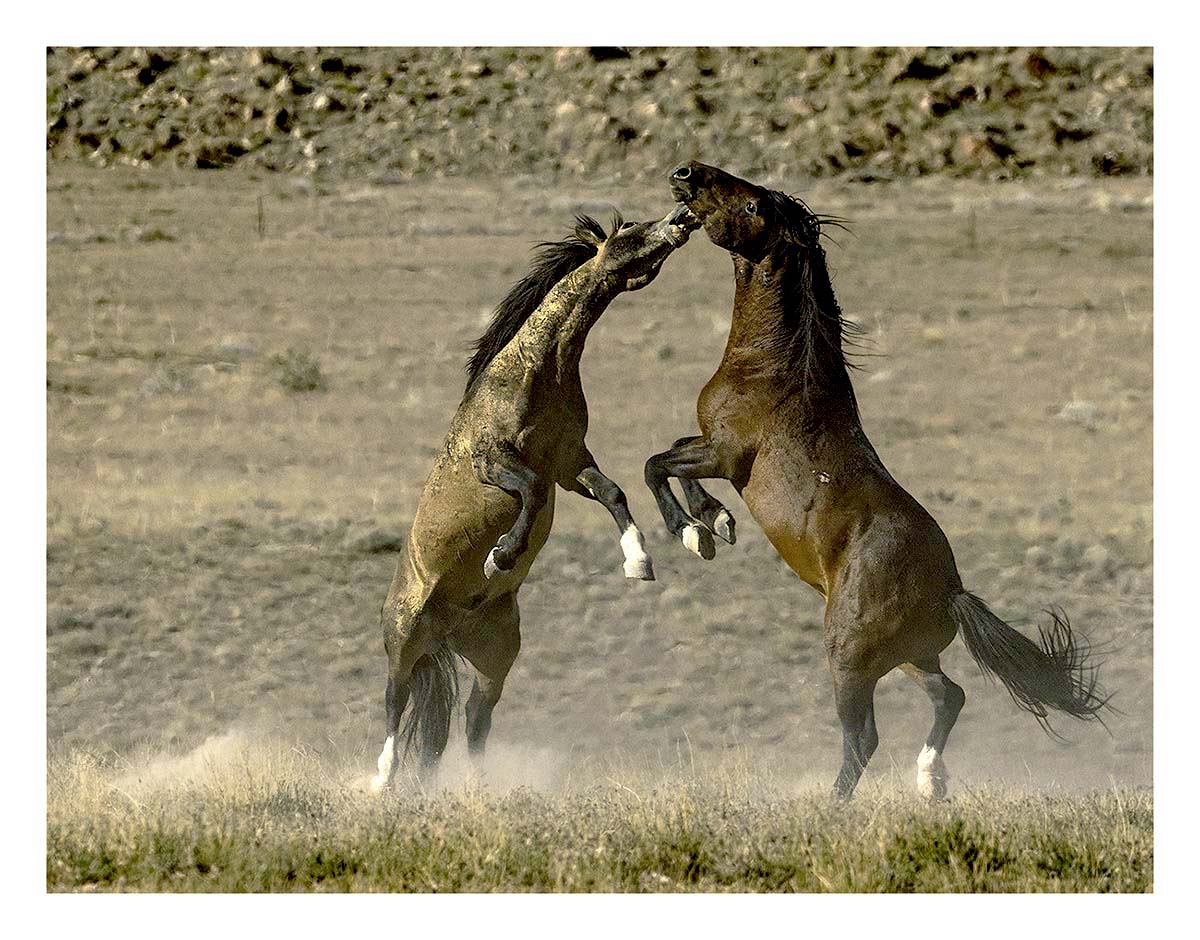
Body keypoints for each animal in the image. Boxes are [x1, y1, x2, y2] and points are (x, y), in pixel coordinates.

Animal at [370, 205, 698, 791]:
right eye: (629, 231)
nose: (682, 217)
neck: (538, 371)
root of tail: (446, 629)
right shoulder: (496, 464)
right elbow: (528, 491)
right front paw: (501, 554)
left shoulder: (568, 462)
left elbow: (612, 494)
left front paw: (639, 560)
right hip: (404, 640)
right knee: (394, 701)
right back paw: (379, 780)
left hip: (494, 657)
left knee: (475, 717)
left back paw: (478, 783)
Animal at [649, 161, 1109, 800]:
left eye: (752, 205)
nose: (687, 174)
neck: (775, 368)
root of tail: (950, 592)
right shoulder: (708, 447)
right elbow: (669, 453)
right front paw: (714, 523)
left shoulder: (724, 454)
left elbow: (657, 464)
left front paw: (691, 532)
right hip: (910, 657)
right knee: (950, 694)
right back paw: (930, 780)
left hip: (848, 657)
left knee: (864, 737)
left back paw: (836, 805)